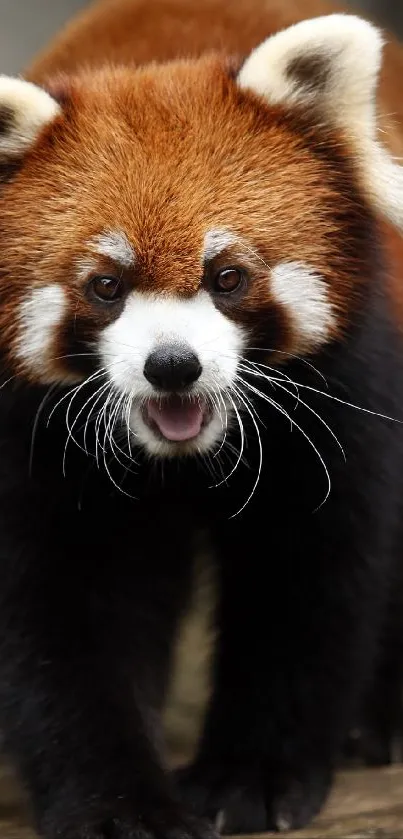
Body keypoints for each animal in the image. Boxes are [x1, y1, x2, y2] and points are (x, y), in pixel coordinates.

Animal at [0, 0, 403, 836]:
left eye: (227, 276)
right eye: (106, 284)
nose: (172, 365)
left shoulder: (344, 384)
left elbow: (308, 579)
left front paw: (250, 775)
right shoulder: (32, 435)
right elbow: (65, 610)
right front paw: (117, 803)